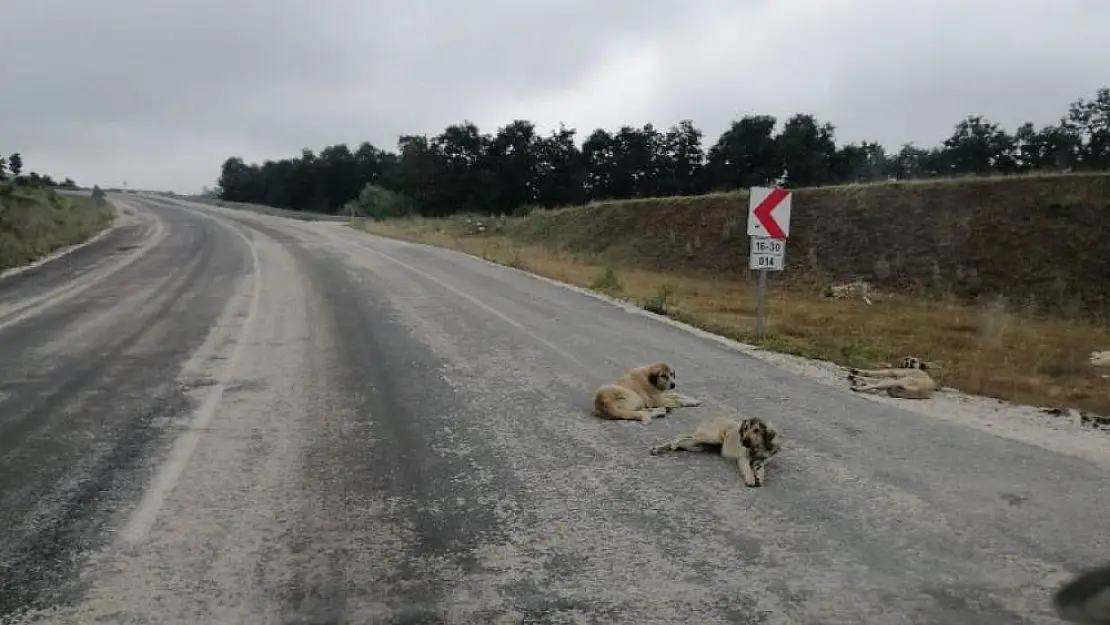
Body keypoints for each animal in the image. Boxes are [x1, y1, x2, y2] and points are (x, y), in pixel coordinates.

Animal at [648, 415, 785, 488]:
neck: (758, 446)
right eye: (745, 428)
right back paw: (669, 444)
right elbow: (747, 468)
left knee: (685, 441)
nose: (743, 441)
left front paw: (759, 477)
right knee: (682, 436)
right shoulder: (743, 459)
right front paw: (751, 479)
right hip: (711, 437)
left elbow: (760, 469)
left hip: (701, 445)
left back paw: (662, 448)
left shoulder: (760, 460)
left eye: (757, 430)